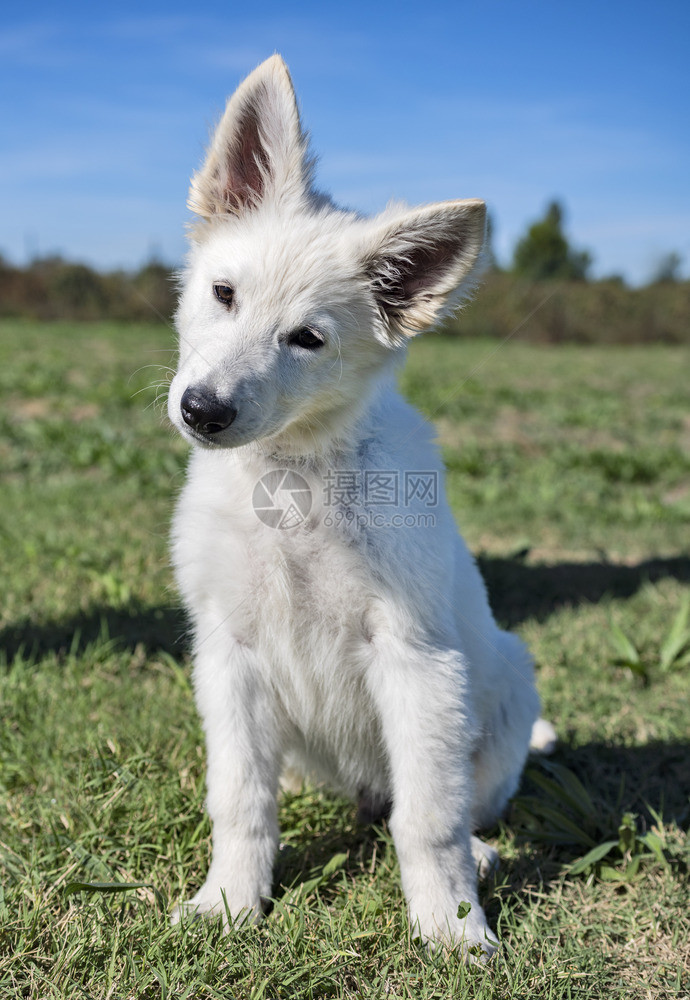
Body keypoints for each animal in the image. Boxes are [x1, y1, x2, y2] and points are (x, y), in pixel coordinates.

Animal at [168, 54, 552, 960]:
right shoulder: (229, 656)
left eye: (307, 339)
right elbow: (241, 800)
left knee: (451, 803)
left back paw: (483, 853)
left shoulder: (414, 661)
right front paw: (230, 902)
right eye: (223, 294)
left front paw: (453, 927)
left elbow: (430, 820)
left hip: (508, 683)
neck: (293, 478)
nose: (202, 411)